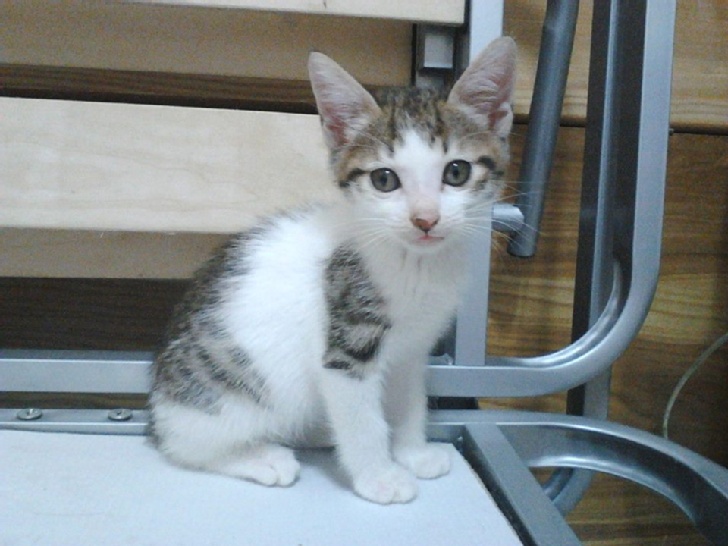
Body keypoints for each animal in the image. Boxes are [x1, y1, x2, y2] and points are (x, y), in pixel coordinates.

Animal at [149, 36, 516, 505]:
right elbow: (361, 420)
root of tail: (158, 406)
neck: (414, 265)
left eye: (457, 171)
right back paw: (260, 457)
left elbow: (408, 400)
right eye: (384, 180)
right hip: (226, 399)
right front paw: (380, 476)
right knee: (187, 447)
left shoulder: (412, 349)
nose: (425, 219)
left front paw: (413, 453)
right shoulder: (346, 349)